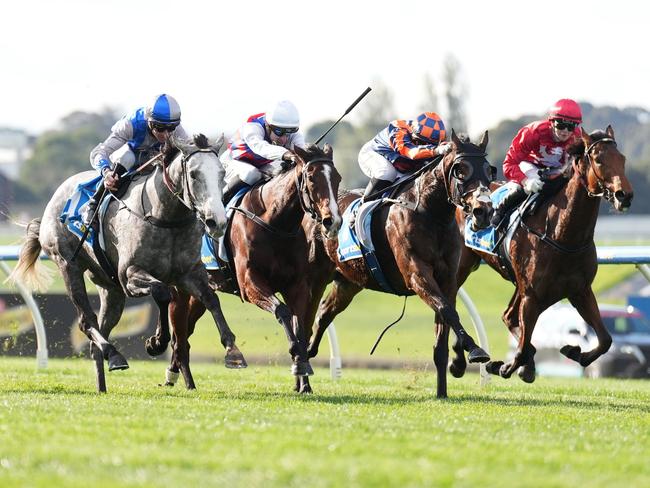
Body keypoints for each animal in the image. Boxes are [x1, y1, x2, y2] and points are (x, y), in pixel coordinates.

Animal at [10, 133, 248, 392]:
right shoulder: (129, 276)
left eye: (222, 173)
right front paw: (156, 342)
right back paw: (114, 355)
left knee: (100, 330)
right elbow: (161, 292)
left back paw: (102, 384)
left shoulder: (189, 274)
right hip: (68, 264)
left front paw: (233, 352)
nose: (217, 222)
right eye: (194, 174)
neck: (165, 217)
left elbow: (211, 299)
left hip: (110, 289)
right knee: (86, 321)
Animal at [165, 145, 342, 392]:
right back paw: (186, 381)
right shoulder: (249, 283)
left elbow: (300, 326)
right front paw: (298, 359)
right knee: (178, 333)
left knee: (186, 330)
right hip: (180, 288)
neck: (275, 223)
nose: (332, 221)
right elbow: (282, 311)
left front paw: (303, 376)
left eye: (337, 179)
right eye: (311, 179)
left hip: (200, 290)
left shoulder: (296, 286)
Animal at [306, 130, 494, 396]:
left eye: (489, 171)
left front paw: (443, 390)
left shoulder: (448, 280)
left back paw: (310, 352)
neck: (430, 213)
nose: (483, 211)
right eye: (461, 170)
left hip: (348, 282)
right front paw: (474, 350)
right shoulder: (417, 275)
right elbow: (447, 310)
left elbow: (444, 327)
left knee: (324, 312)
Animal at [454, 127, 632, 386]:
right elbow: (520, 348)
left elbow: (605, 339)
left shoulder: (580, 290)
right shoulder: (532, 295)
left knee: (509, 317)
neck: (562, 235)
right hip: (461, 267)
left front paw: (574, 352)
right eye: (599, 159)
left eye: (623, 159)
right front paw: (505, 366)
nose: (624, 195)